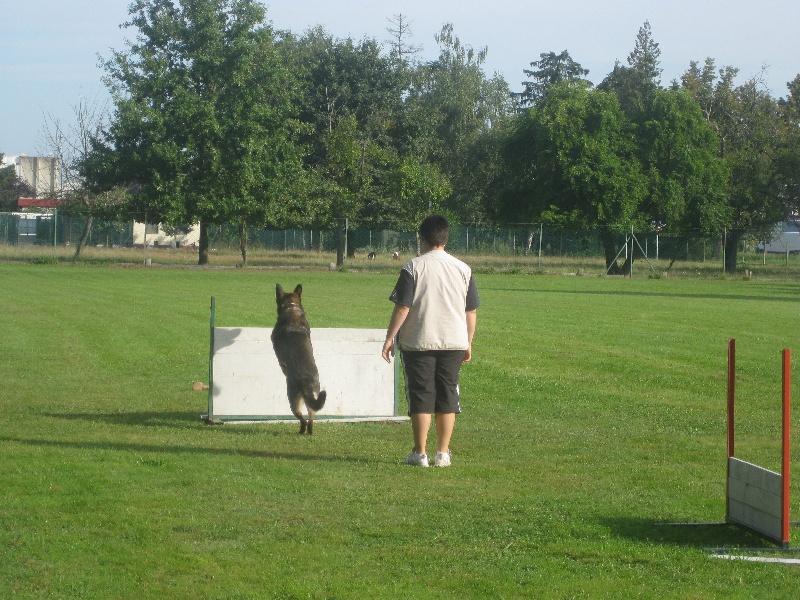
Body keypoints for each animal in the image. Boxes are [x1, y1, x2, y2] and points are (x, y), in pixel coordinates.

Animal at [270, 284, 326, 434]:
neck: (291, 307)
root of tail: (306, 381)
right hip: (312, 400)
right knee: (311, 417)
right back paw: (309, 433)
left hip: (293, 400)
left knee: (303, 419)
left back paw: (301, 431)